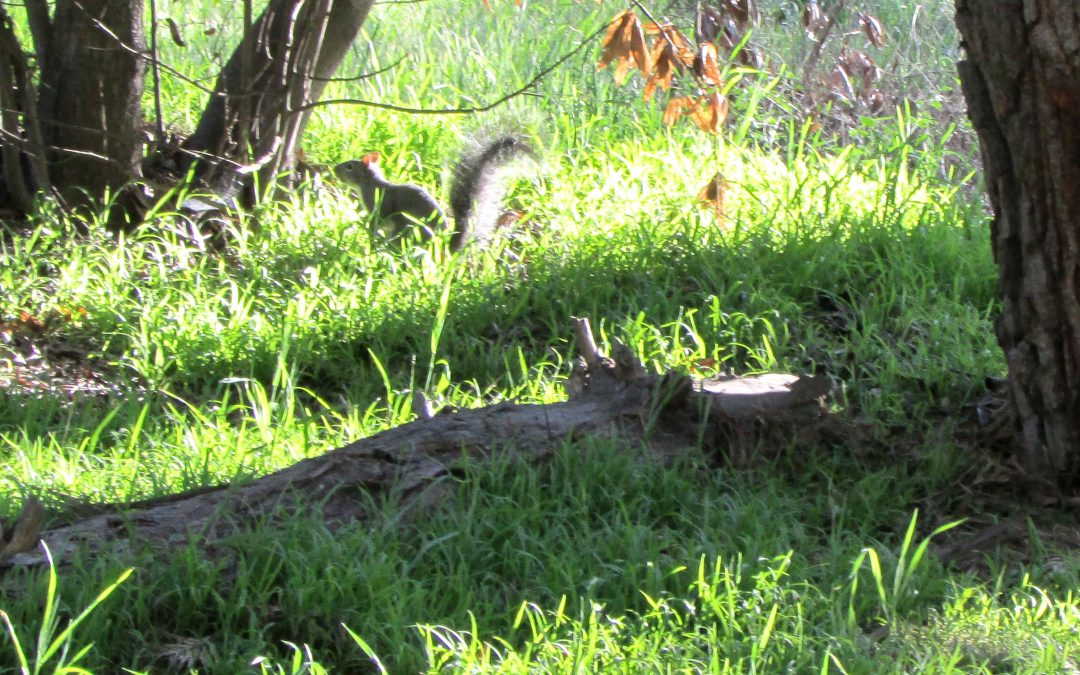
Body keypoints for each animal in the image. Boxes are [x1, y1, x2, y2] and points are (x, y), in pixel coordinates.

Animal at [334, 133, 533, 252]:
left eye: (349, 166)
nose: (334, 169)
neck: (370, 183)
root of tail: (444, 248)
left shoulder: (379, 206)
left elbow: (377, 221)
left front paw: (365, 229)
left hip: (406, 229)